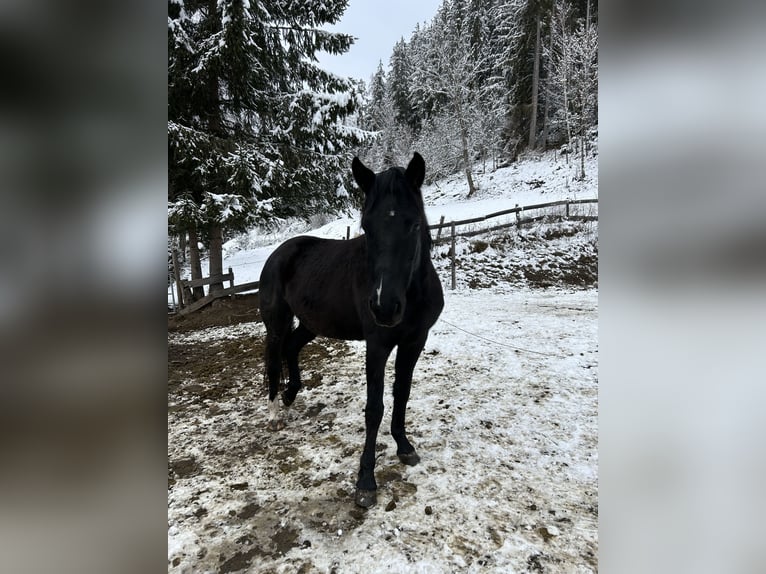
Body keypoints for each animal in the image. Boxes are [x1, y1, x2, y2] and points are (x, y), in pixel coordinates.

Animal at [258, 152, 444, 508]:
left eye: (414, 223)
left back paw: (290, 395)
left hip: (311, 324)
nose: (384, 307)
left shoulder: (414, 341)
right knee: (274, 361)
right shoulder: (377, 346)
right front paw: (366, 482)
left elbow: (402, 393)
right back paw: (274, 414)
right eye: (367, 227)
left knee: (291, 348)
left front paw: (404, 447)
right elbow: (374, 408)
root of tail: (278, 253)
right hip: (276, 322)